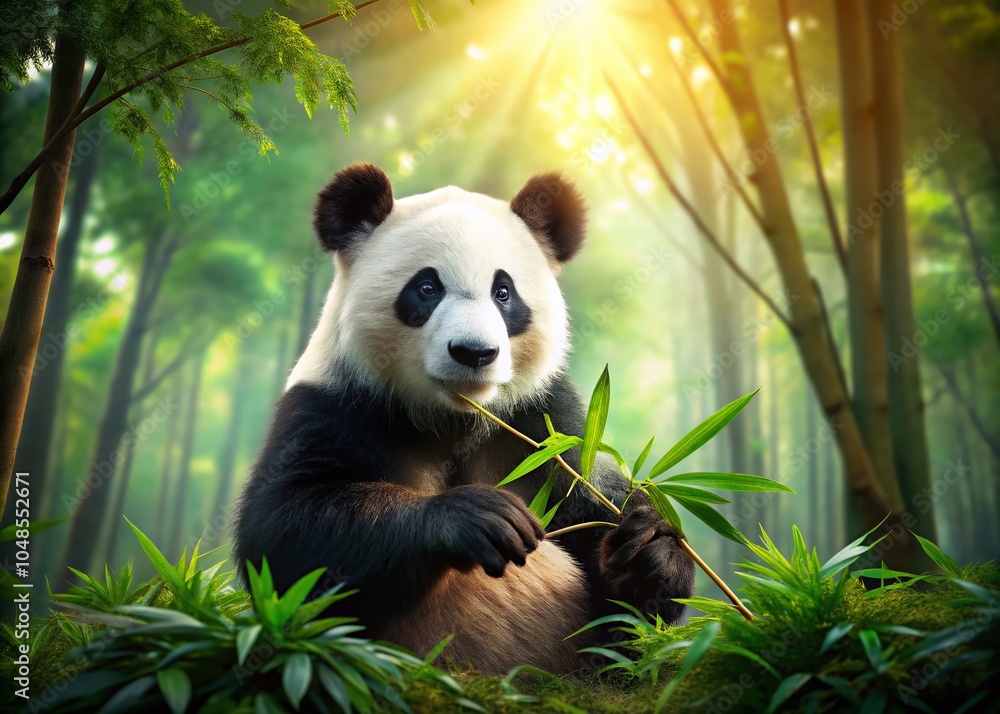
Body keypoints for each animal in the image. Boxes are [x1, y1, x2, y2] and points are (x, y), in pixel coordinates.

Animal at [232, 163, 695, 674]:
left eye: (503, 293)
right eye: (427, 288)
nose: (475, 353)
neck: (454, 416)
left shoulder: (542, 423)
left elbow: (595, 518)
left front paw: (649, 551)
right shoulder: (335, 405)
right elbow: (286, 533)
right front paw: (481, 516)